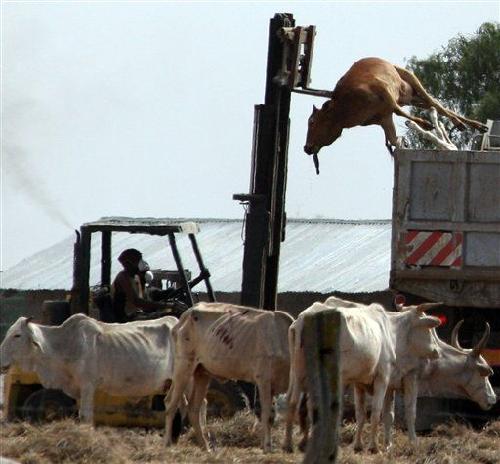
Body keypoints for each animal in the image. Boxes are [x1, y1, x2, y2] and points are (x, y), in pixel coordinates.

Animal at [162, 300, 294, 454]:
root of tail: (187, 313)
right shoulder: (263, 380)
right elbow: (267, 414)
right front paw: (267, 447)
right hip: (183, 366)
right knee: (171, 403)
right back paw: (167, 443)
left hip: (202, 372)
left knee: (194, 408)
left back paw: (206, 447)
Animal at [286, 298, 442, 454]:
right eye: (429, 330)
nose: (438, 351)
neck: (393, 332)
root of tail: (305, 318)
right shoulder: (388, 378)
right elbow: (381, 412)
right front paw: (375, 446)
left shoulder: (363, 383)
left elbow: (366, 415)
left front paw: (362, 445)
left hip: (299, 374)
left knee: (295, 403)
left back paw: (292, 444)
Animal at [304, 56, 488, 169]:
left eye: (312, 122)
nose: (307, 147)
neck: (344, 107)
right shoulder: (383, 118)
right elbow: (393, 137)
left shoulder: (385, 93)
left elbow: (400, 113)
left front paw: (424, 123)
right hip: (412, 97)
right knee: (435, 105)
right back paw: (475, 125)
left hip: (410, 79)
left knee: (435, 103)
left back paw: (463, 124)